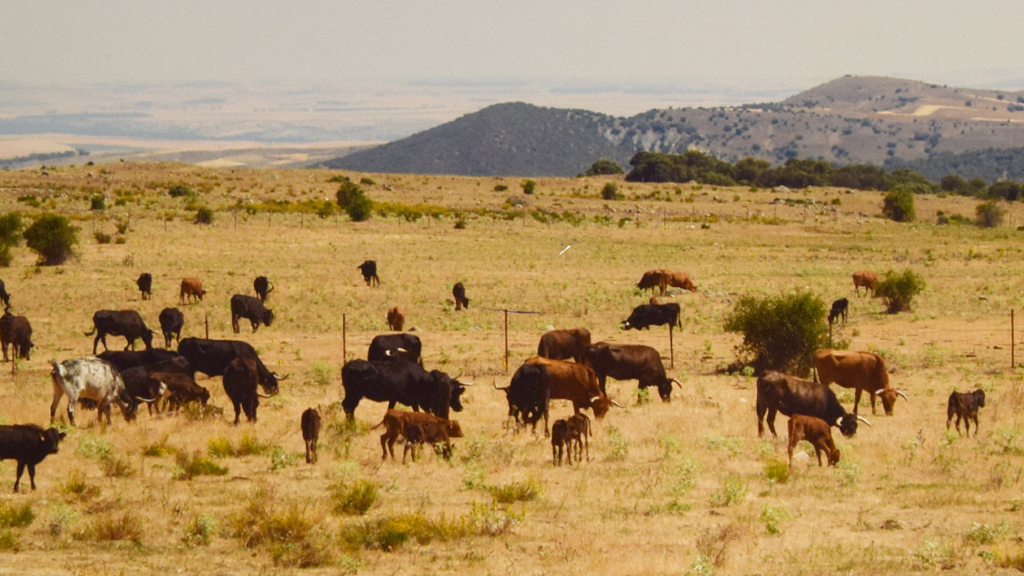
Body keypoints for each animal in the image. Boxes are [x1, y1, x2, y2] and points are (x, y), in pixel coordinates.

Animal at [340, 359, 469, 420]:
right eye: (454, 392)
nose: (460, 407)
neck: (421, 380)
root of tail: (346, 365)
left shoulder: (397, 399)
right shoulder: (412, 401)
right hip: (353, 394)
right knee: (348, 406)